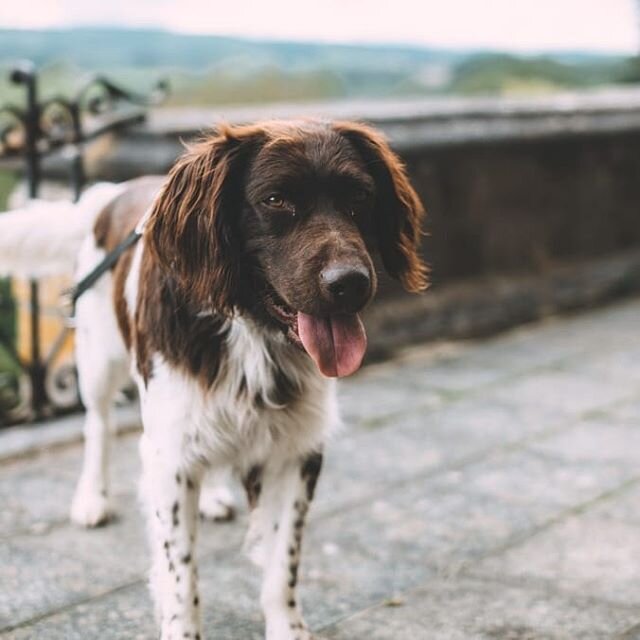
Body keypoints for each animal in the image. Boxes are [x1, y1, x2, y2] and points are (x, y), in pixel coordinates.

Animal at [2, 121, 430, 640]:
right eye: (275, 200)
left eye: (360, 197)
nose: (350, 283)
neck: (249, 326)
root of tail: (111, 193)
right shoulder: (169, 452)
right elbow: (180, 571)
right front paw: (181, 624)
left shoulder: (296, 450)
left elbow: (282, 563)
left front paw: (287, 626)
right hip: (98, 356)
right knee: (98, 426)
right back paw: (92, 499)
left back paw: (211, 498)